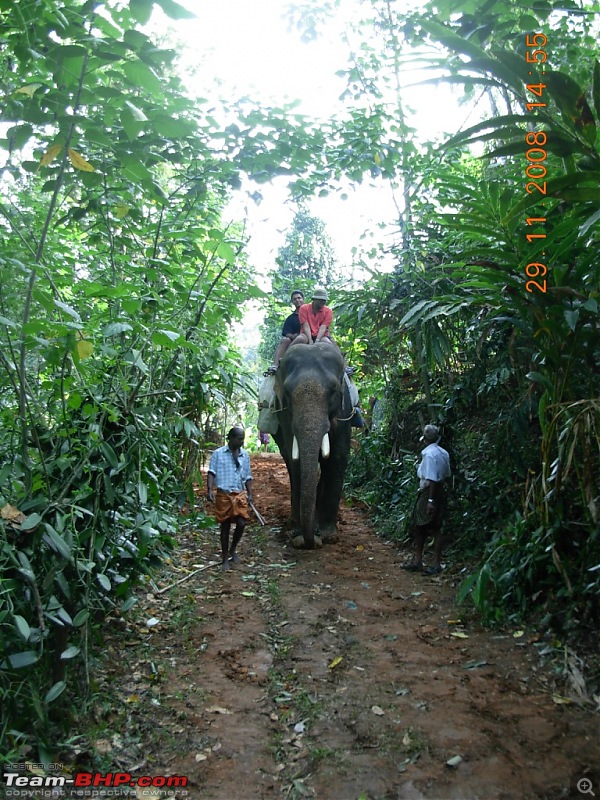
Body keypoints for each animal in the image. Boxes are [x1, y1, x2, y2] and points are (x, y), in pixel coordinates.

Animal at [270, 340, 352, 548]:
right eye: (287, 393)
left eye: (334, 390)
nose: (312, 543)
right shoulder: (285, 414)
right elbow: (296, 459)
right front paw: (299, 536)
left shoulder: (345, 408)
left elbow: (338, 457)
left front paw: (328, 535)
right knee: (288, 460)